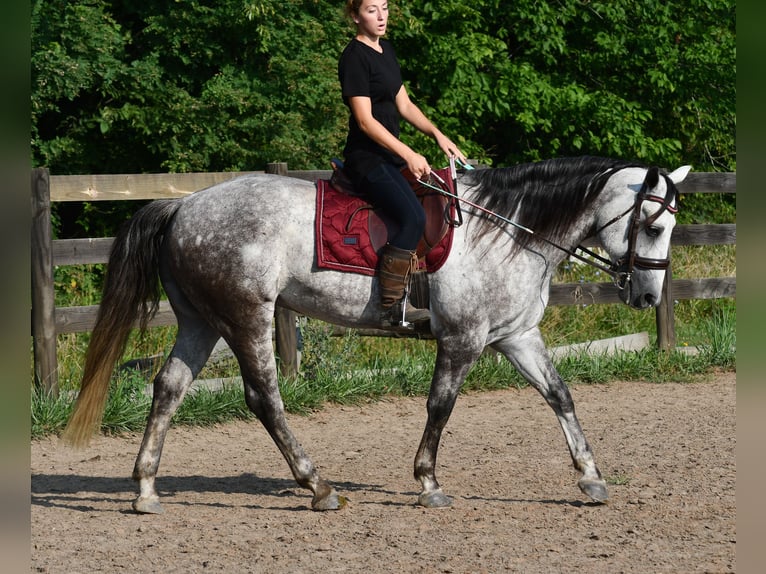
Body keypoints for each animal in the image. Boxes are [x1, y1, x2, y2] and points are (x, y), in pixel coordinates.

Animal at [62, 156, 689, 514]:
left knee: (168, 388)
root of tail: (183, 206)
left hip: (200, 322)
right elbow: (441, 406)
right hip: (245, 318)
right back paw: (317, 487)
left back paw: (146, 490)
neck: (506, 231)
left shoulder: (516, 336)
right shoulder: (463, 338)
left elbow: (560, 396)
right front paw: (428, 482)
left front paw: (591, 477)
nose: (647, 297)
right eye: (653, 223)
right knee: (264, 397)